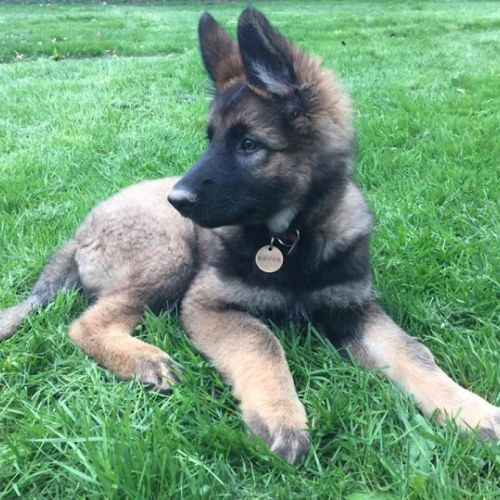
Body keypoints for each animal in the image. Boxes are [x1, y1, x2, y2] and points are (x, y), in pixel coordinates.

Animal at [1, 8, 498, 464]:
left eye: (248, 145)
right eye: (211, 139)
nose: (176, 199)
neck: (290, 238)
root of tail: (79, 231)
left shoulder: (356, 308)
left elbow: (413, 353)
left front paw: (470, 410)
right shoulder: (208, 305)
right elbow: (264, 341)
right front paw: (281, 416)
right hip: (170, 253)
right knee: (85, 324)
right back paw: (146, 359)